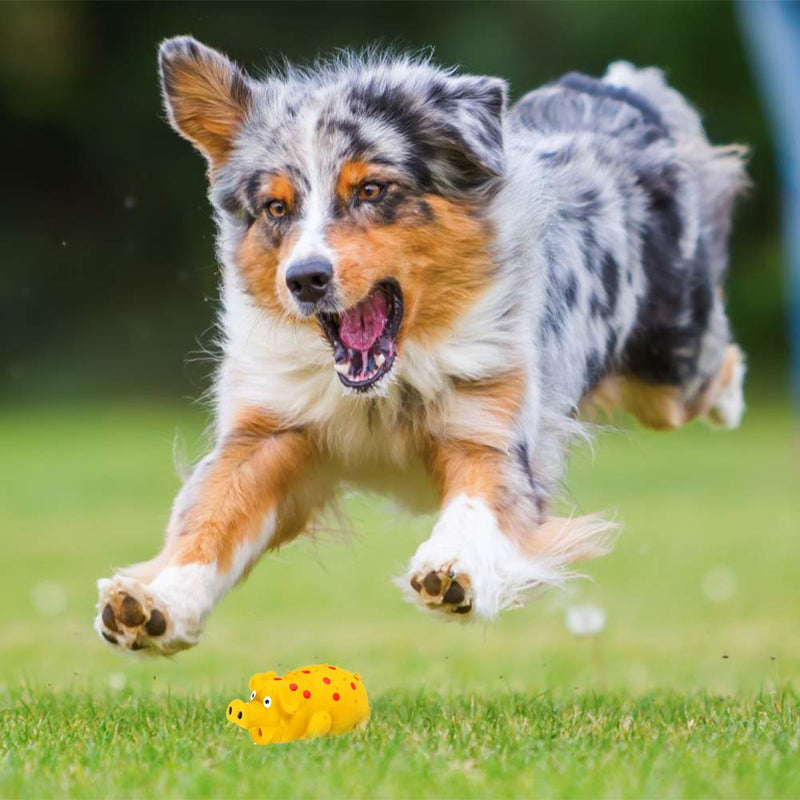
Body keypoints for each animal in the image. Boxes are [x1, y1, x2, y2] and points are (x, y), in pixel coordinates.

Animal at [95, 36, 752, 656]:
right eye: (276, 207)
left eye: (371, 190)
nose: (304, 279)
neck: (385, 387)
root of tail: (620, 92)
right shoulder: (268, 431)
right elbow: (210, 514)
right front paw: (155, 602)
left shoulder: (488, 426)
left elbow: (477, 505)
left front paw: (453, 568)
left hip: (672, 369)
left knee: (717, 363)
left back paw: (730, 402)